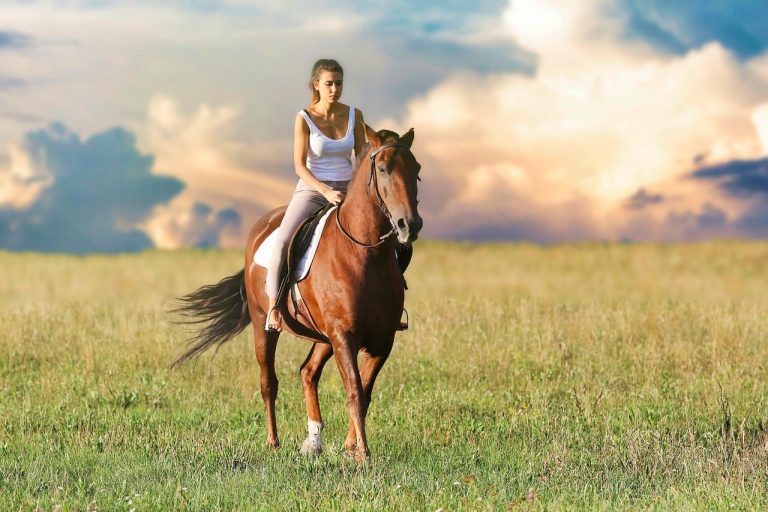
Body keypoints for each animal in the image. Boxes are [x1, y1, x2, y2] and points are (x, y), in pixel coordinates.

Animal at [171, 124, 422, 463]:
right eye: (382, 169)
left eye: (416, 170)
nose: (410, 225)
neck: (365, 254)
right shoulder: (344, 336)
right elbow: (355, 392)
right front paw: (363, 454)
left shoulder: (381, 340)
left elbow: (365, 393)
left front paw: (351, 448)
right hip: (264, 326)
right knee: (269, 382)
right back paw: (273, 441)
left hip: (323, 337)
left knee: (307, 372)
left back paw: (313, 442)